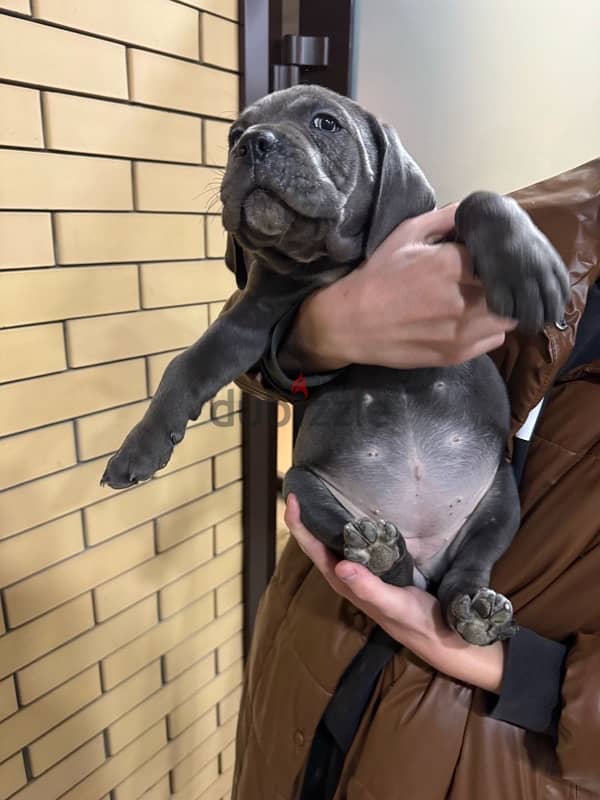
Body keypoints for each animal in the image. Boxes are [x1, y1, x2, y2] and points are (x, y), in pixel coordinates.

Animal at [101, 84, 568, 648]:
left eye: (326, 123)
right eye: (234, 134)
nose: (252, 144)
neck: (328, 265)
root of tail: (425, 549)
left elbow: (479, 199)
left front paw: (528, 267)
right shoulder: (254, 316)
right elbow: (188, 364)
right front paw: (141, 447)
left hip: (501, 499)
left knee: (467, 569)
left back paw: (475, 609)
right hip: (304, 488)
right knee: (396, 575)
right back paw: (385, 555)